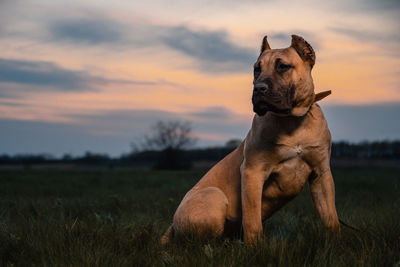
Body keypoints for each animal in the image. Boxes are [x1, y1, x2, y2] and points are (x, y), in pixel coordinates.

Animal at [161, 34, 340, 246]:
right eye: (256, 69)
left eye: (283, 67)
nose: (259, 88)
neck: (292, 121)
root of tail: (171, 225)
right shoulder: (253, 173)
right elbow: (252, 220)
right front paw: (255, 247)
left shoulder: (321, 174)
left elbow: (330, 216)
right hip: (214, 196)